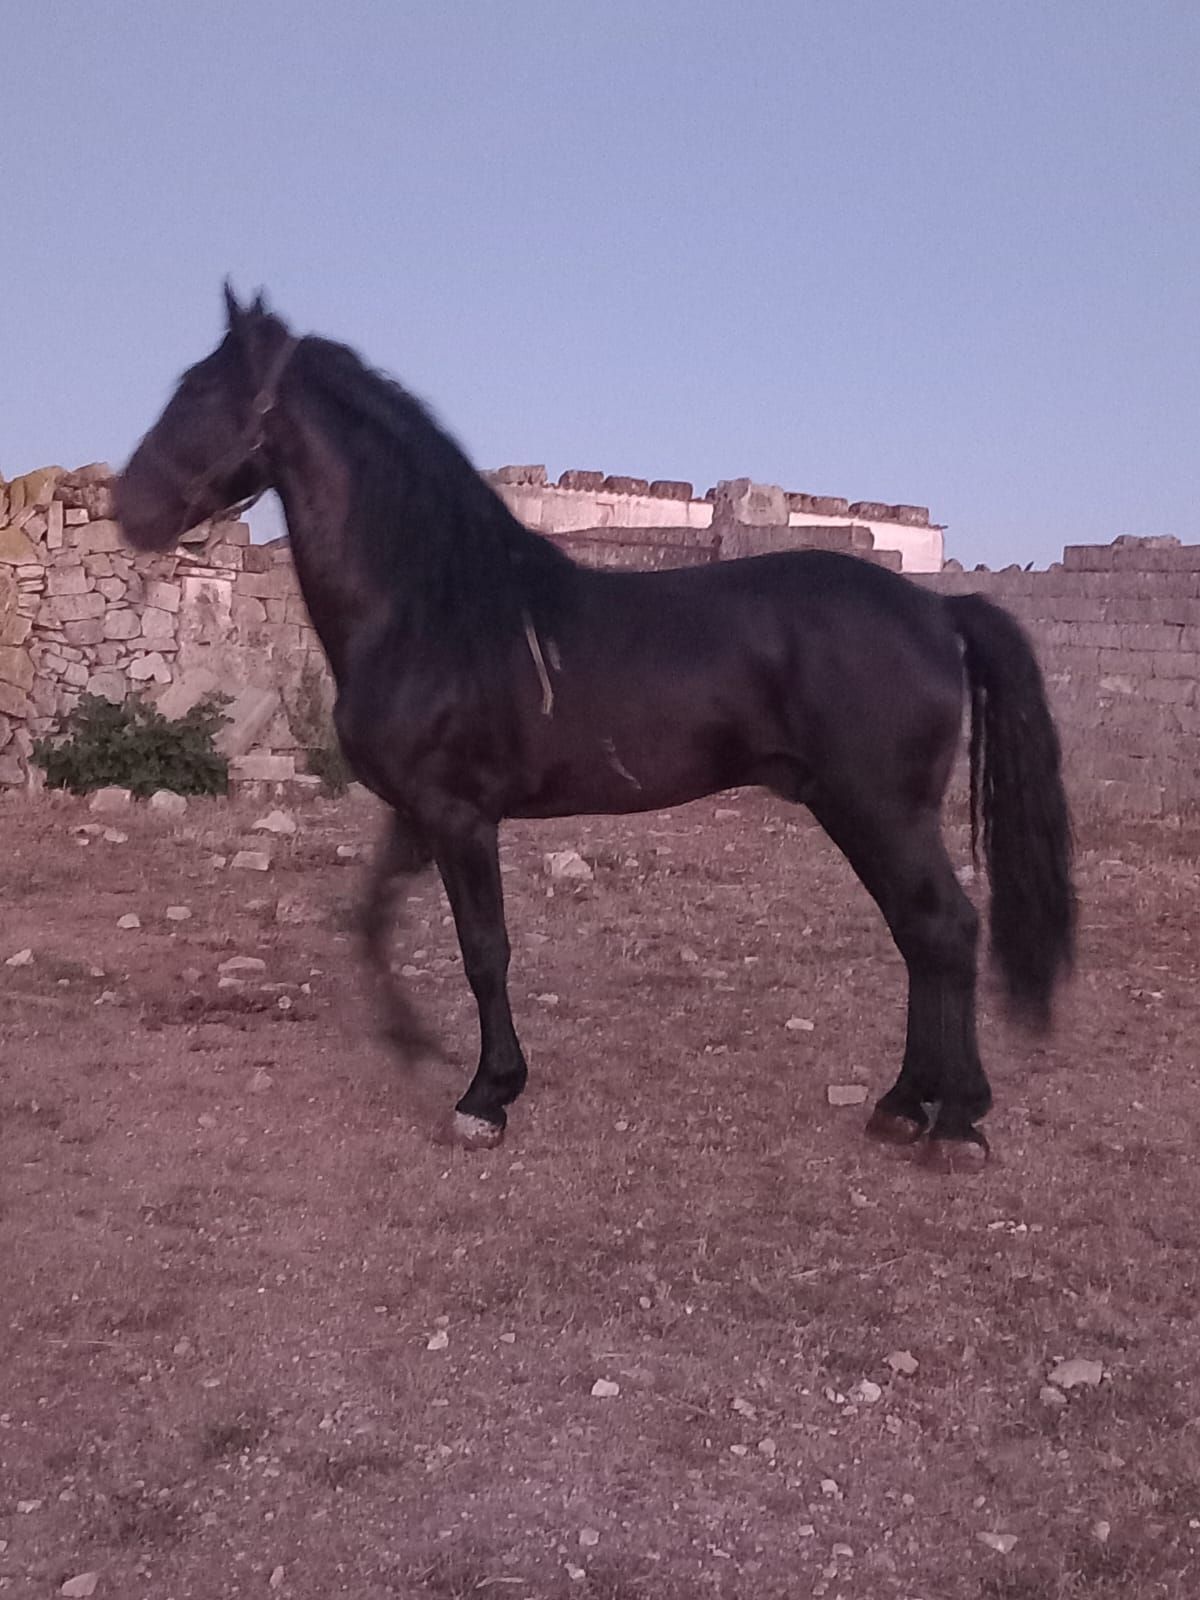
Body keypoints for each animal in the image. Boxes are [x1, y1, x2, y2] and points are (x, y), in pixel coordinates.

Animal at [115, 287, 1075, 1169]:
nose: (129, 509)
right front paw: (413, 1043)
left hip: (877, 810)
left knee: (944, 929)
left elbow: (484, 950)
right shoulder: (415, 815)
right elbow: (372, 922)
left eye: (199, 393)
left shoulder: (461, 817)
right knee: (920, 936)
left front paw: (486, 1096)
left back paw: (955, 1122)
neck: (433, 606)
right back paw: (907, 1105)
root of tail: (936, 607)